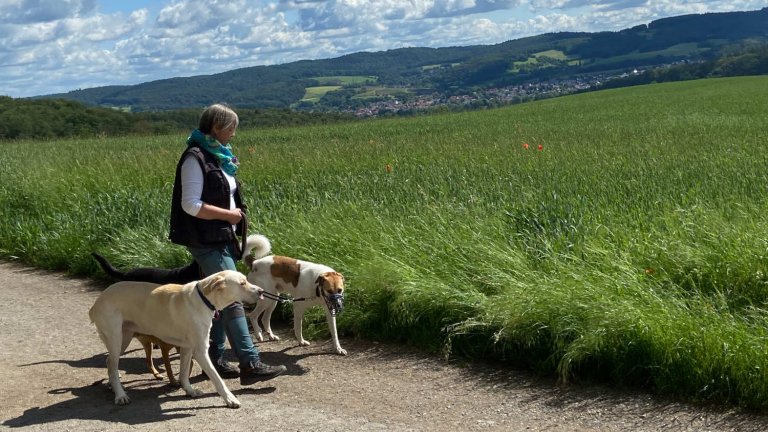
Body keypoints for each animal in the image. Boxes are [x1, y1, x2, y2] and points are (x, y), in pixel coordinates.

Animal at [89, 270, 264, 408]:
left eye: (246, 280)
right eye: (242, 283)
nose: (262, 291)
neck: (203, 300)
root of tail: (98, 301)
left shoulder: (187, 348)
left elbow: (184, 373)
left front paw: (189, 390)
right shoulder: (200, 351)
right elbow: (217, 379)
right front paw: (230, 399)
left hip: (123, 339)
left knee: (109, 363)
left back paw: (113, 386)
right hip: (115, 338)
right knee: (112, 365)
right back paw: (120, 395)